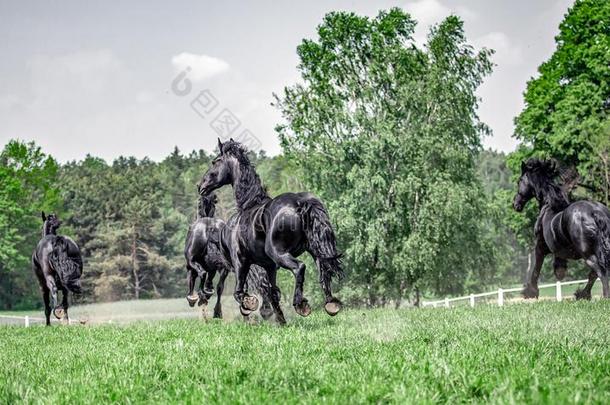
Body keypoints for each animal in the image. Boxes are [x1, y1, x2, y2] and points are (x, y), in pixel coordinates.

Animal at [198, 139, 342, 322]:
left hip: (278, 253)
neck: (249, 204)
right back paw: (331, 304)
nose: (201, 186)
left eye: (215, 162)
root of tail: (300, 202)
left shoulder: (241, 261)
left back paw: (300, 304)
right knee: (324, 272)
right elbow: (273, 292)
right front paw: (281, 321)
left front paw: (249, 306)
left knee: (300, 268)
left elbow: (239, 293)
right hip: (314, 251)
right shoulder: (270, 266)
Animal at [512, 158, 608, 296]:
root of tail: (595, 212)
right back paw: (583, 294)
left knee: (600, 272)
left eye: (519, 181)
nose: (515, 204)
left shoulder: (541, 246)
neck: (549, 204)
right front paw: (560, 272)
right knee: (595, 273)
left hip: (588, 254)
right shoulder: (558, 250)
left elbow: (536, 268)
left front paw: (530, 292)